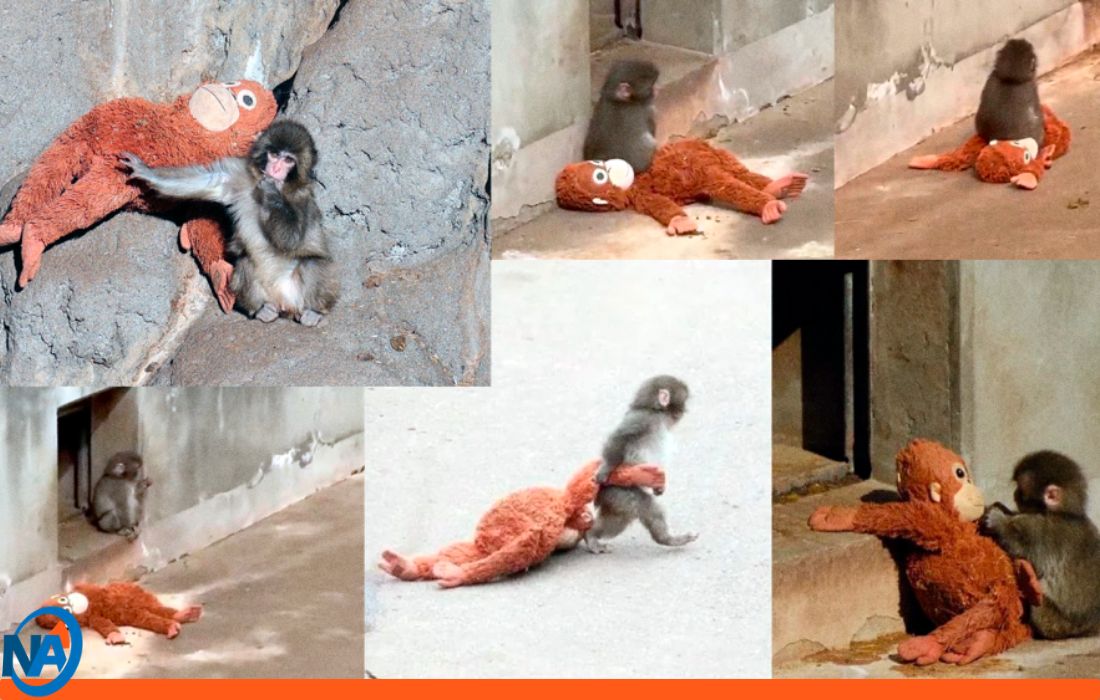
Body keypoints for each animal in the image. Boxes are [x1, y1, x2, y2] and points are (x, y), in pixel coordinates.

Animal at [120, 120, 338, 326]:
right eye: (275, 154)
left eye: (288, 160)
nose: (275, 169)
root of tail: (285, 304)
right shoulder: (238, 174)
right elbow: (211, 180)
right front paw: (144, 170)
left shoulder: (303, 198)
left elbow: (292, 240)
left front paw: (271, 190)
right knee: (245, 261)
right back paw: (262, 310)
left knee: (312, 262)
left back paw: (314, 312)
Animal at [584, 375, 698, 553]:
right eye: (684, 401)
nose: (685, 411)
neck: (655, 411)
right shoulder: (643, 419)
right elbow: (620, 437)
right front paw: (606, 468)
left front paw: (659, 487)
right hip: (618, 491)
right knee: (644, 507)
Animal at [981, 451, 1100, 639]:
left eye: (1021, 489)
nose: (1015, 493)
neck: (1063, 513)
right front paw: (1003, 509)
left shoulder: (1041, 531)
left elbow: (1021, 547)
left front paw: (998, 521)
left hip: (1056, 623)